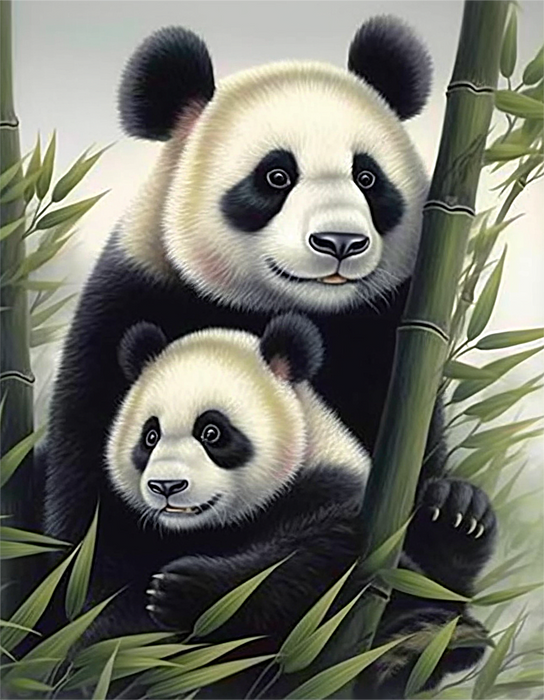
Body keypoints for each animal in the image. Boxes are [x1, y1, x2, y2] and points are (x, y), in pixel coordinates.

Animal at [45, 16, 445, 544]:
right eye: (276, 176)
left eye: (367, 177)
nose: (340, 241)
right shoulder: (133, 297)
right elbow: (88, 468)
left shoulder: (390, 326)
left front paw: (449, 504)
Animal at [83, 314, 495, 700]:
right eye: (150, 436)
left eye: (211, 432)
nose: (166, 486)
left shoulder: (335, 486)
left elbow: (325, 555)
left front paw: (185, 590)